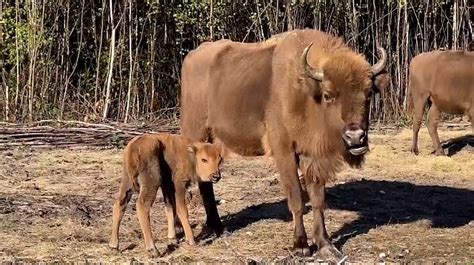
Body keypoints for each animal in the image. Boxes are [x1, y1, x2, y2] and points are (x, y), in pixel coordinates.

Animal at [178, 28, 388, 260]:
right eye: (328, 95)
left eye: (369, 93)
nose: (355, 137)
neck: (306, 91)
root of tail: (191, 56)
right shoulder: (284, 151)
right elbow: (296, 198)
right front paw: (301, 246)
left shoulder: (312, 156)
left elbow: (317, 200)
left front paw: (325, 245)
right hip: (195, 135)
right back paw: (207, 228)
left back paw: (217, 226)